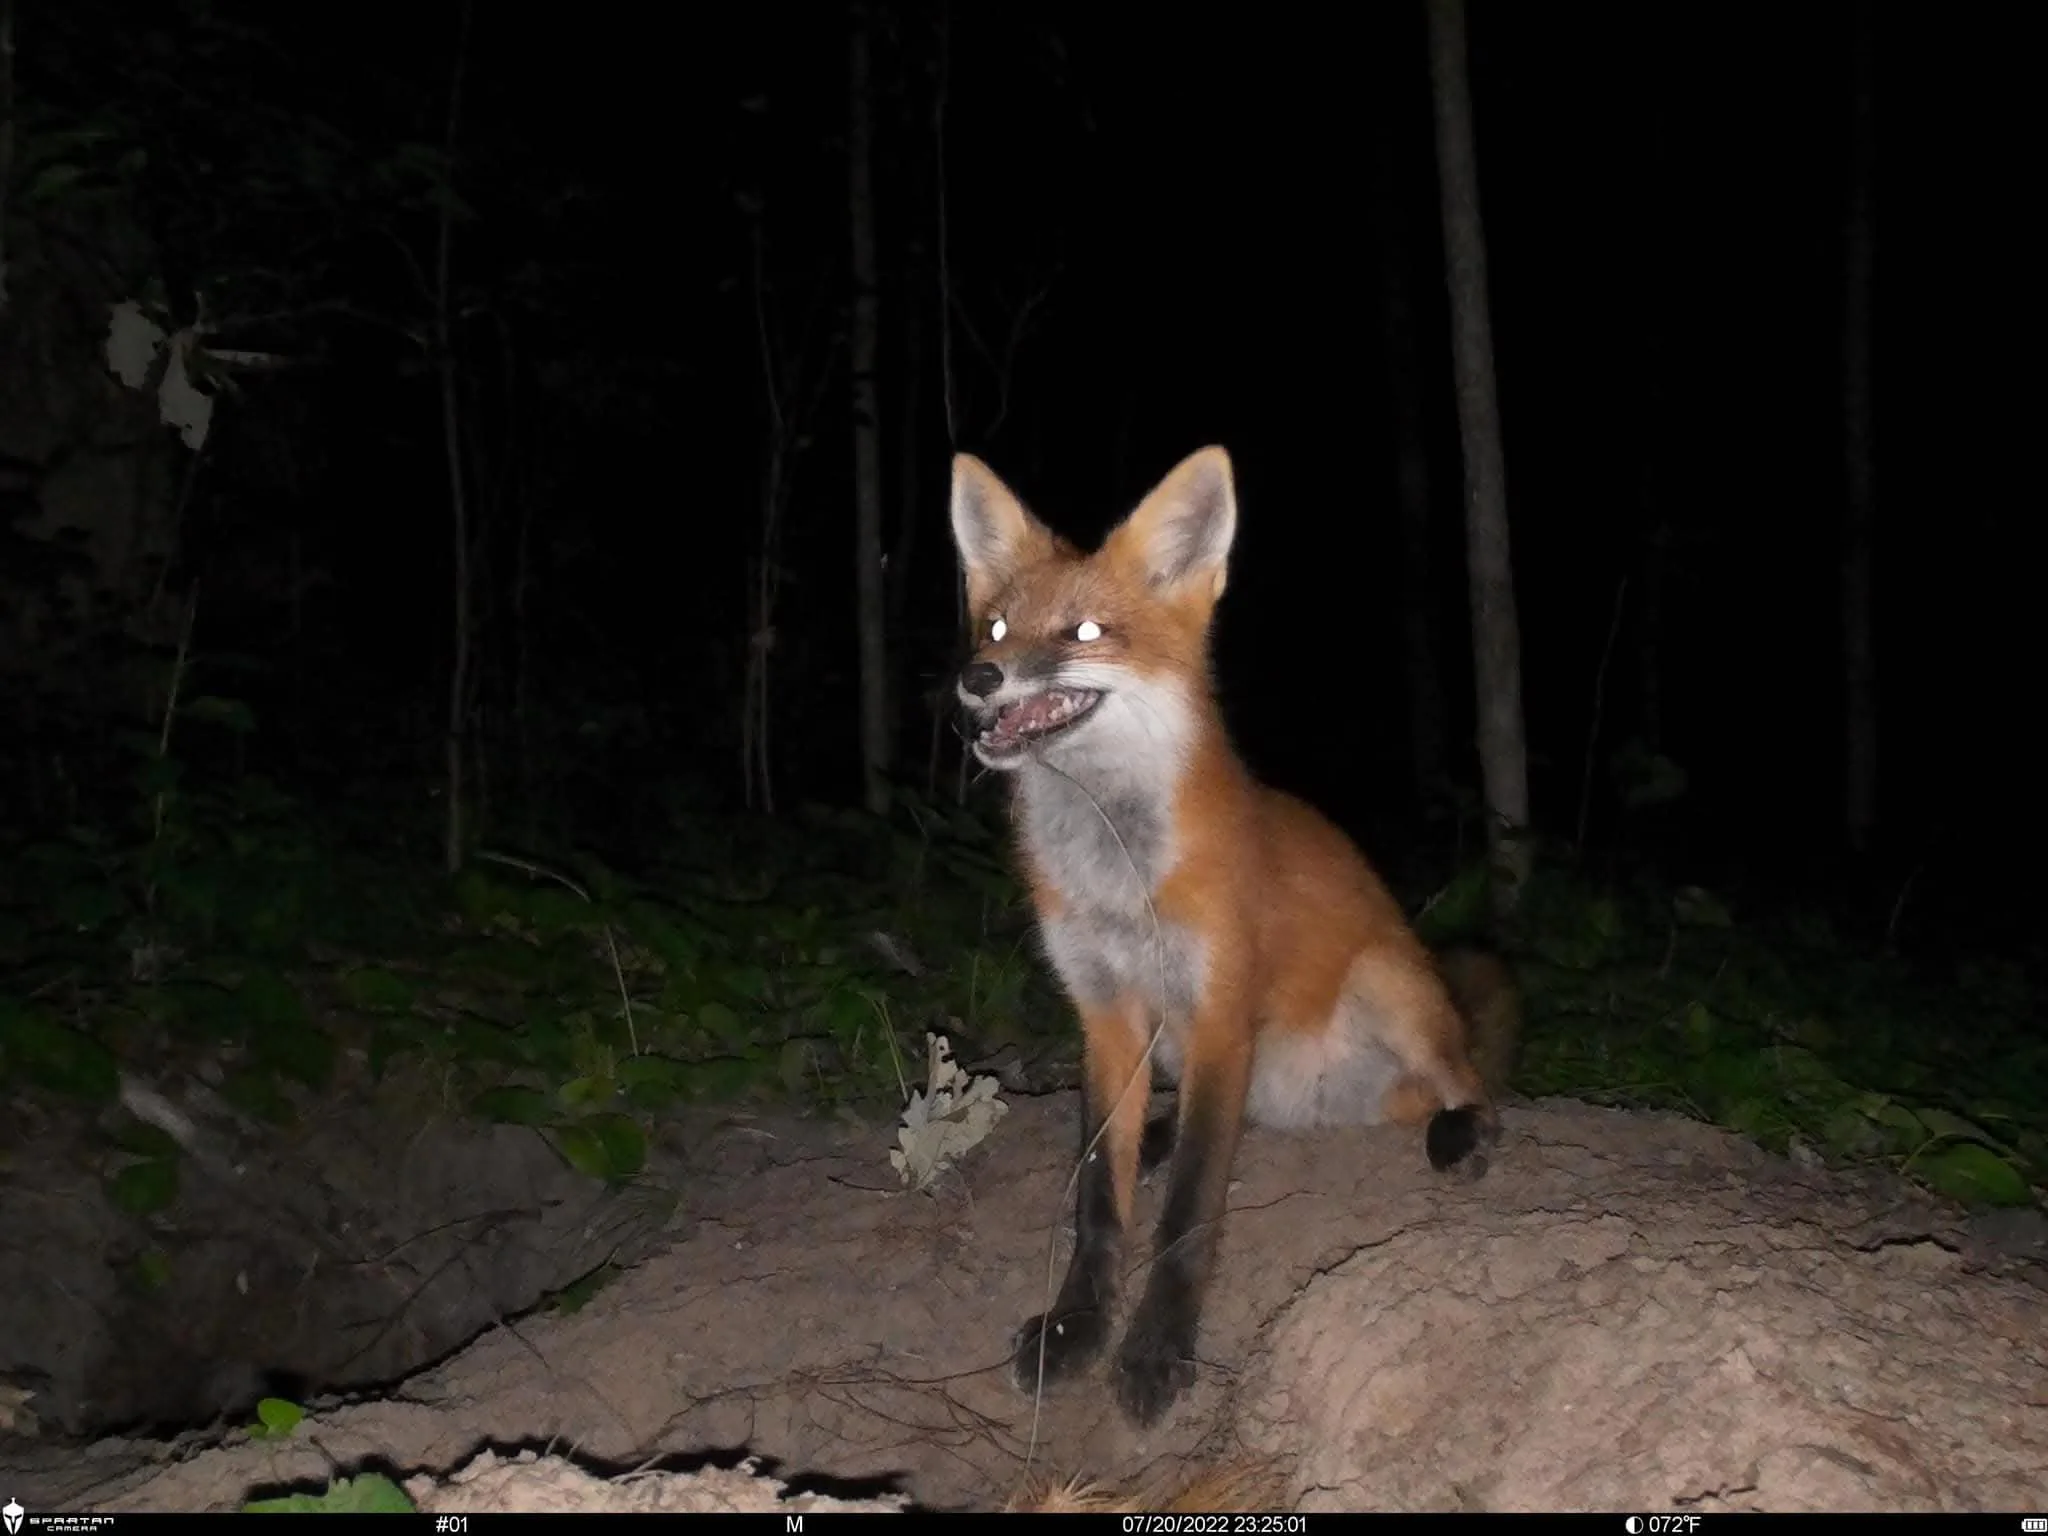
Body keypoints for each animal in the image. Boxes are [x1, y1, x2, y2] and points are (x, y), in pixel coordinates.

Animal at [947, 445, 1517, 1428]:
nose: (980, 677)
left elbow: (1189, 1215)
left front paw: (1155, 1353)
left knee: (1471, 1084)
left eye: (1085, 631)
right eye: (994, 627)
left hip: (1386, 982)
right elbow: (1098, 1197)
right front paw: (1076, 1328)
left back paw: (1461, 1133)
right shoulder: (1105, 1012)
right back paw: (1160, 1137)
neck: (1119, 883)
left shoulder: (1217, 1012)